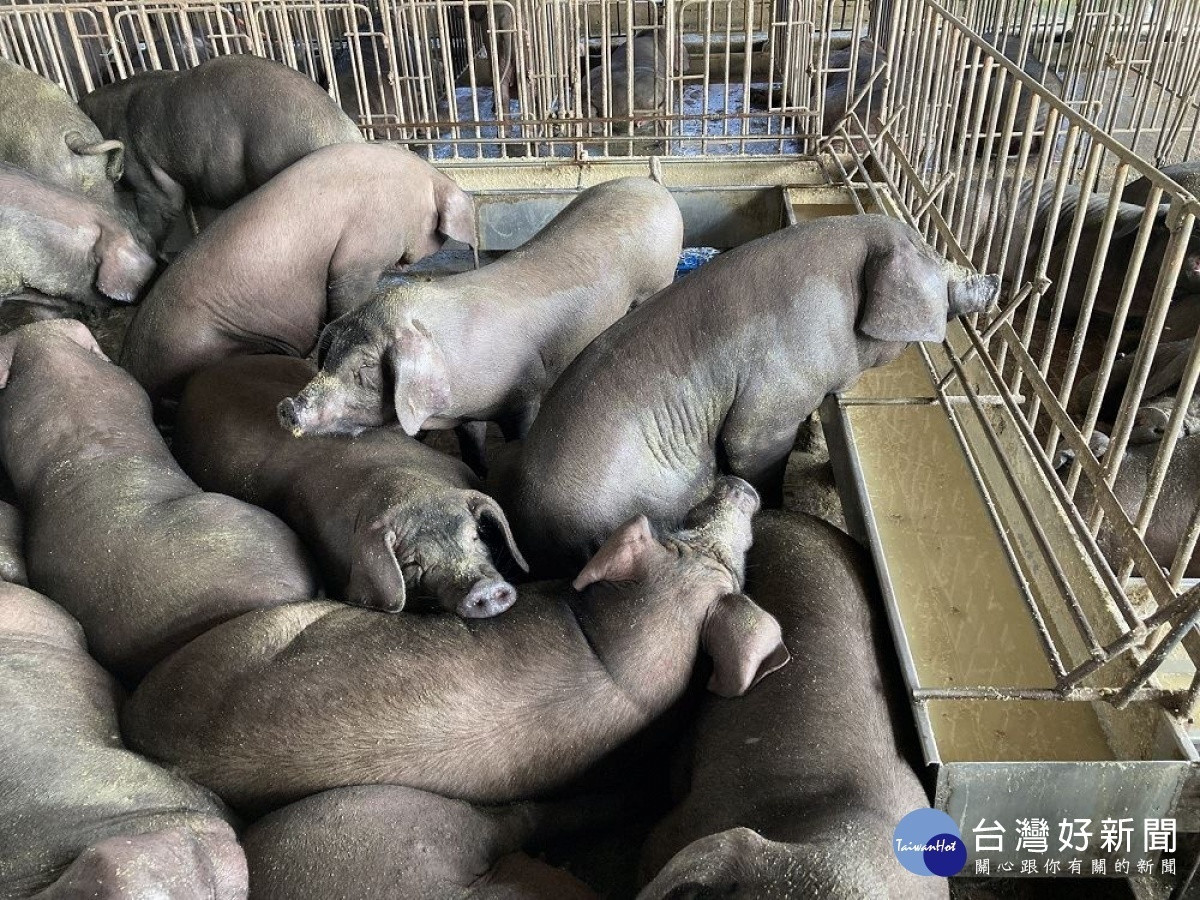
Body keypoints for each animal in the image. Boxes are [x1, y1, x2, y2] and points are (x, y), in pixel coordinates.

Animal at [279, 177, 683, 462]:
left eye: (364, 370)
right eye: (329, 356)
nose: (287, 407)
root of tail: (654, 189)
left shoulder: (525, 392)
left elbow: (521, 430)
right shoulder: (466, 414)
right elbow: (472, 447)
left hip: (659, 278)